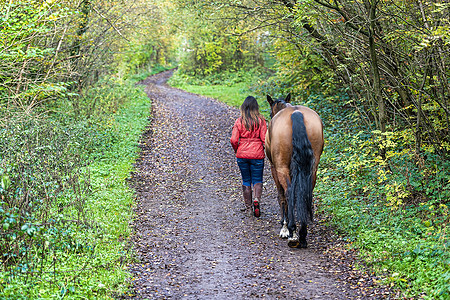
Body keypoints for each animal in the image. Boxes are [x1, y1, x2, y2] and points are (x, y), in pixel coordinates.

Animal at [264, 94, 324, 248]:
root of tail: (296, 113)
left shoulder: (274, 168)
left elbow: (281, 196)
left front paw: (284, 228)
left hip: (281, 168)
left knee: (288, 192)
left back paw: (292, 231)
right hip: (312, 169)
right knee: (306, 192)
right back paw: (302, 234)